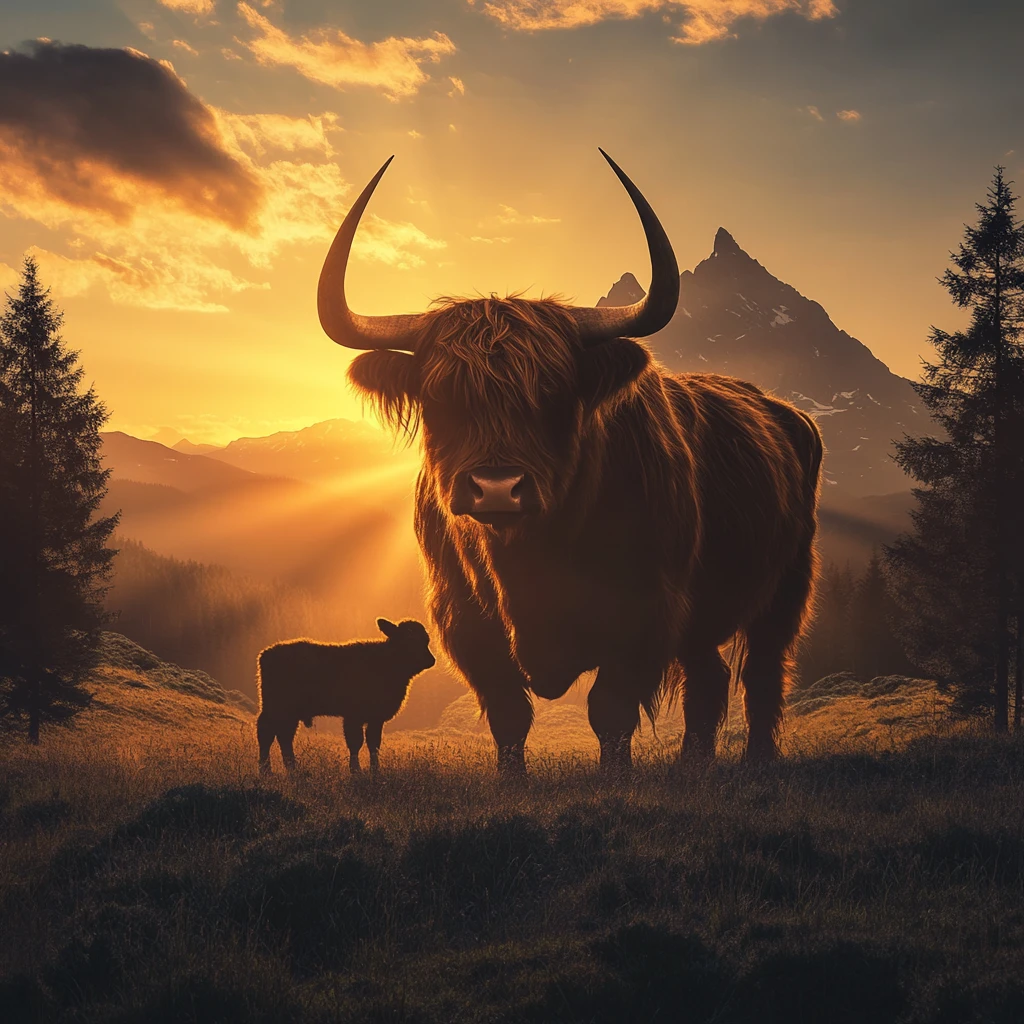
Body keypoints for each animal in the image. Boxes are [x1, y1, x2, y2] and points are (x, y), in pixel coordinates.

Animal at [256, 619, 435, 775]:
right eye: (408, 639)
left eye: (426, 640)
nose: (430, 660)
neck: (384, 660)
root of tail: (266, 653)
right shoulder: (353, 717)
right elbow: (356, 742)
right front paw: (356, 770)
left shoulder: (376, 718)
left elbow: (373, 744)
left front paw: (375, 770)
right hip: (275, 707)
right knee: (266, 732)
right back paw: (266, 771)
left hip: (289, 713)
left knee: (284, 736)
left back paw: (292, 770)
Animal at [316, 151, 822, 774]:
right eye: (438, 398)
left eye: (555, 393)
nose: (497, 488)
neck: (531, 562)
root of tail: (786, 413)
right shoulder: (466, 623)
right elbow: (509, 713)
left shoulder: (644, 612)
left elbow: (610, 710)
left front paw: (615, 779)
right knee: (709, 675)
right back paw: (692, 768)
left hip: (786, 587)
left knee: (762, 674)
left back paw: (756, 762)